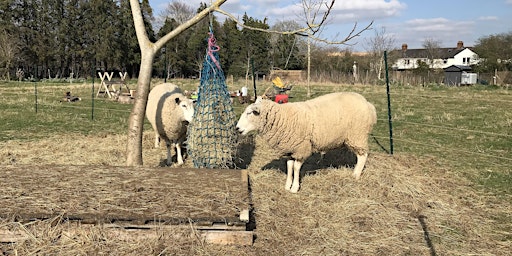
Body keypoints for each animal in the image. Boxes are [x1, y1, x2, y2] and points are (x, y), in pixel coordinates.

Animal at [236, 91, 376, 192]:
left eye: (250, 113)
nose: (237, 128)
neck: (283, 118)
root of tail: (368, 104)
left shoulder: (301, 148)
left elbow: (296, 168)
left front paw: (294, 188)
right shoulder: (290, 148)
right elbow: (289, 166)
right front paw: (287, 185)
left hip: (358, 134)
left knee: (363, 156)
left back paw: (356, 175)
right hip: (354, 136)